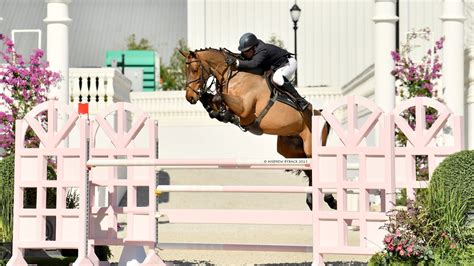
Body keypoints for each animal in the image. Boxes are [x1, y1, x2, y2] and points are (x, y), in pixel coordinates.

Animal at [180, 47, 336, 210]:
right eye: (185, 70)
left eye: (195, 69)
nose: (190, 97)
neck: (233, 76)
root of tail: (321, 115)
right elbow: (212, 99)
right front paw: (218, 112)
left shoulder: (244, 109)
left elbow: (219, 97)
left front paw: (223, 112)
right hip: (290, 150)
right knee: (310, 171)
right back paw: (315, 201)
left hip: (310, 147)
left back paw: (329, 199)